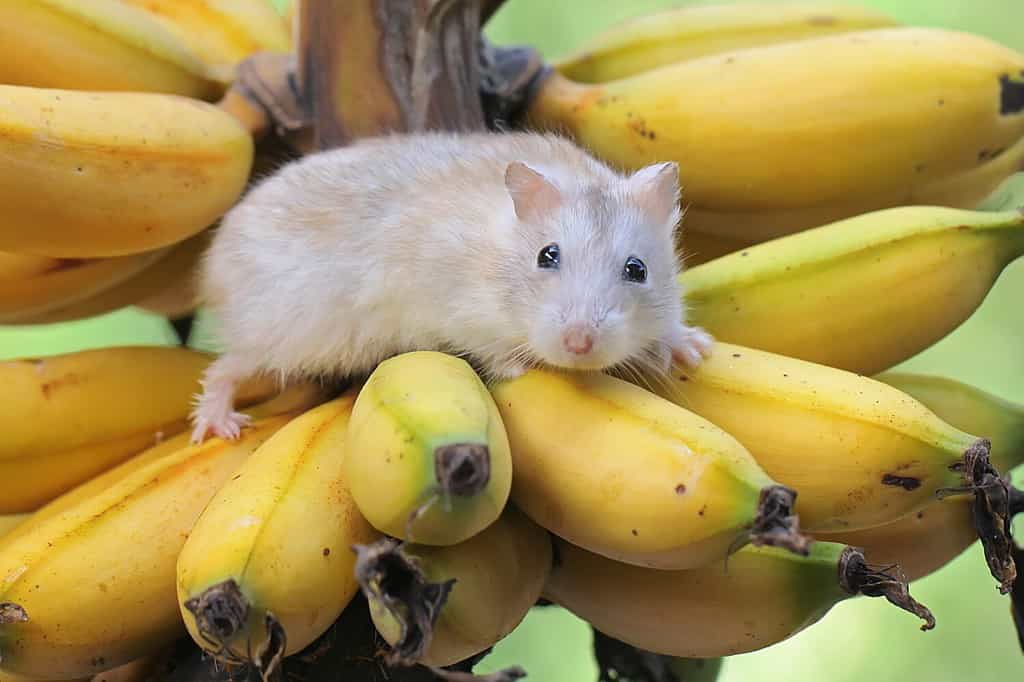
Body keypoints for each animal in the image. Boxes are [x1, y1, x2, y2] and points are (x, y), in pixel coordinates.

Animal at [190, 130, 712, 440]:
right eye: (547, 255)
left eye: (637, 269)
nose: (579, 345)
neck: (498, 256)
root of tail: (212, 264)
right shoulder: (460, 314)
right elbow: (492, 349)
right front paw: (519, 368)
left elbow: (672, 324)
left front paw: (693, 349)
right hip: (276, 333)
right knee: (222, 370)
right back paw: (220, 426)